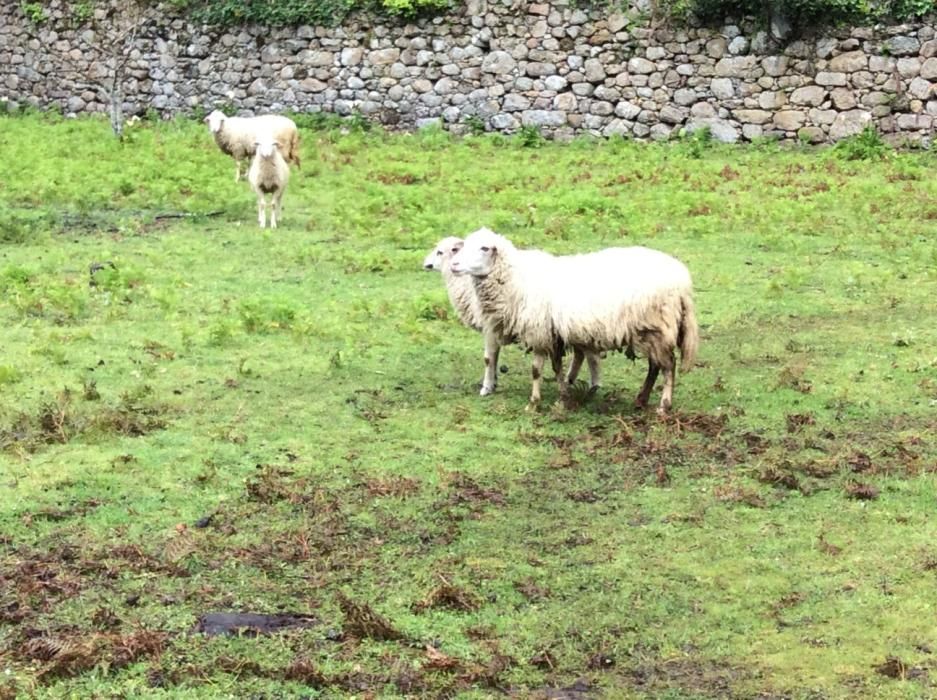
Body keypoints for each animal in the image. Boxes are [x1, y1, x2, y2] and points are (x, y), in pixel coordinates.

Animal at [422, 237, 600, 396]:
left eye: (439, 252)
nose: (425, 264)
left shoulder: (490, 326)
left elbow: (488, 358)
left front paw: (486, 388)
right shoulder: (497, 327)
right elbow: (495, 356)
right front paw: (493, 382)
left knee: (589, 354)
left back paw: (593, 384)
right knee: (582, 353)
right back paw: (573, 380)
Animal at [450, 227, 700, 412]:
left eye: (484, 248)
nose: (454, 265)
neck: (515, 280)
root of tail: (683, 281)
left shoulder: (537, 331)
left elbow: (536, 370)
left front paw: (533, 403)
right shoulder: (552, 333)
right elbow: (556, 367)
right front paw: (563, 396)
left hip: (658, 327)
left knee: (668, 365)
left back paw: (663, 405)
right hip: (650, 330)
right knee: (655, 365)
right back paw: (641, 400)